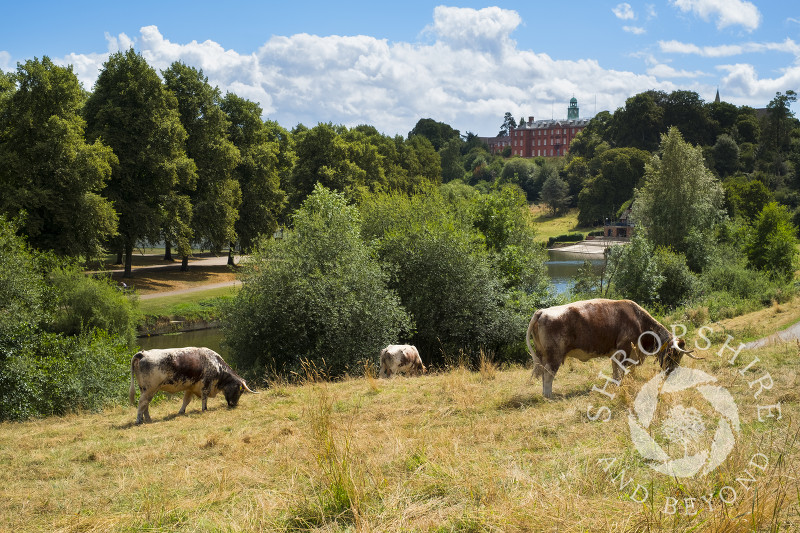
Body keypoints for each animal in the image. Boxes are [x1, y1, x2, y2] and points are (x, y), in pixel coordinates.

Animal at [524, 298, 700, 396]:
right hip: (554, 356)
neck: (639, 320)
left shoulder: (616, 353)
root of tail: (542, 311)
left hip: (543, 355)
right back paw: (549, 395)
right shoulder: (625, 349)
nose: (673, 372)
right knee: (548, 374)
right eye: (674, 354)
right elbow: (620, 371)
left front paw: (616, 385)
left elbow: (615, 372)